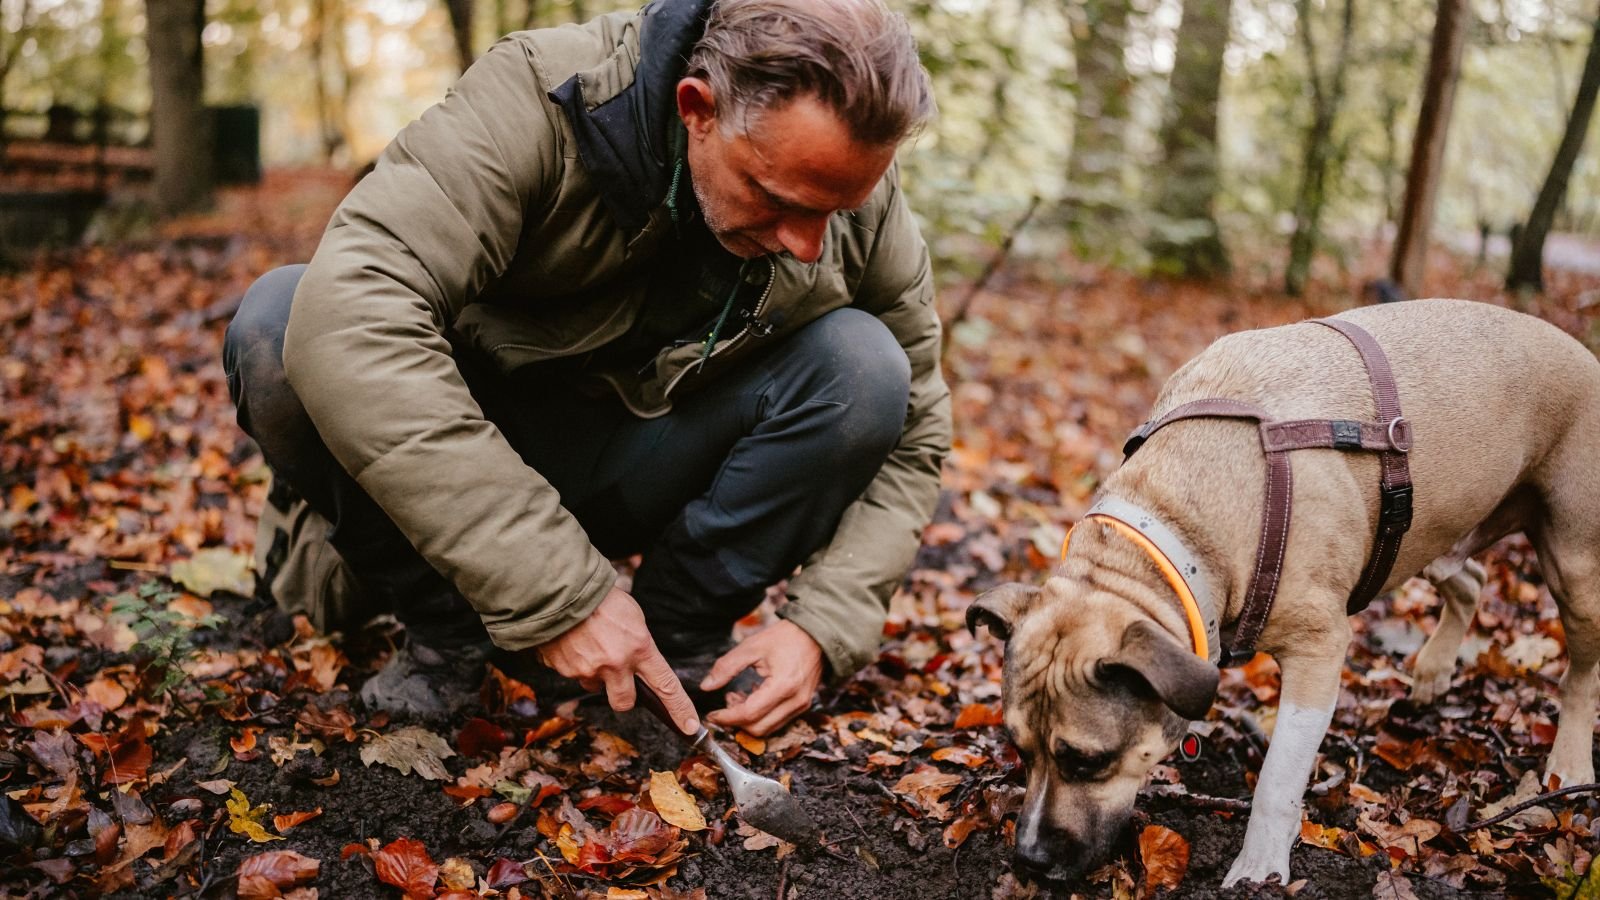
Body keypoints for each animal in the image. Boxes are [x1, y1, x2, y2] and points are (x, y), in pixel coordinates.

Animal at [966, 299, 1600, 883]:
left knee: (1579, 672)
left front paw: (1259, 866)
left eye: (1087, 761)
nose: (1028, 860)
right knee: (1470, 578)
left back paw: (1567, 765)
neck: (1172, 530)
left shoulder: (1319, 650)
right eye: (1018, 749)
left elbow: (1277, 777)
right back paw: (1433, 671)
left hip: (1573, 565)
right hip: (1432, 532)